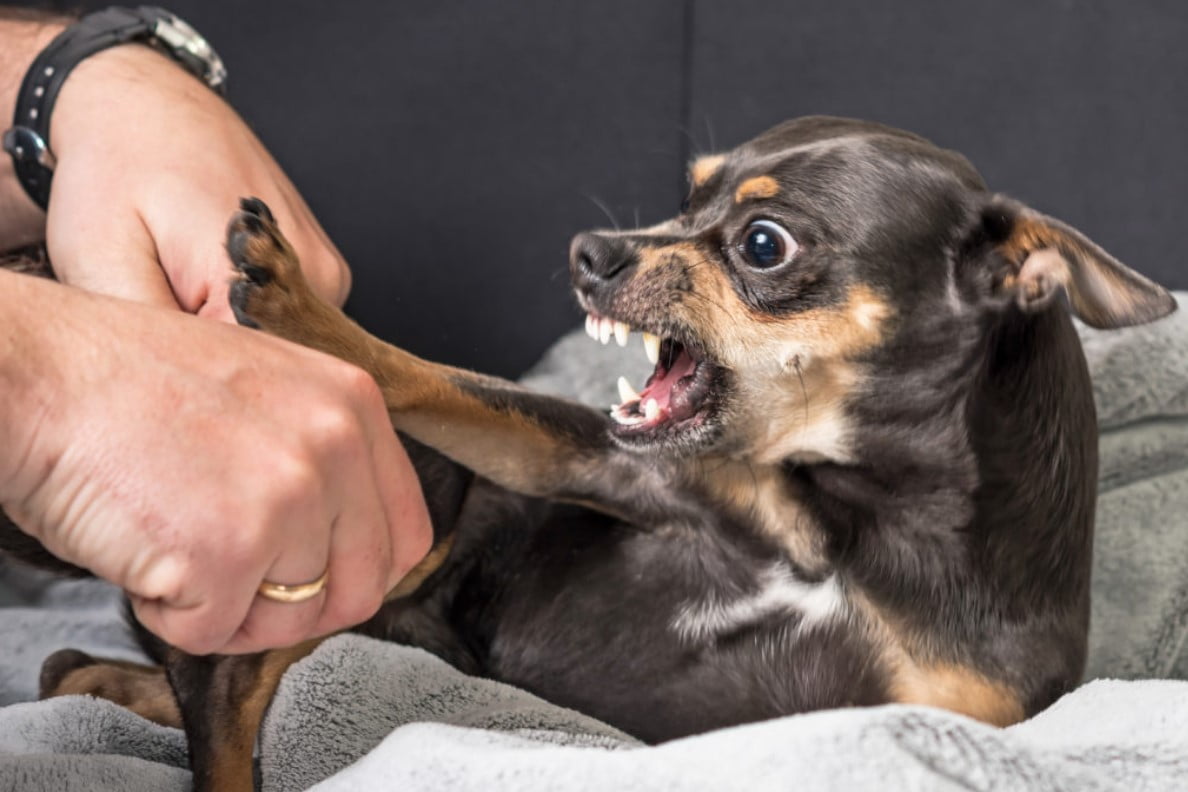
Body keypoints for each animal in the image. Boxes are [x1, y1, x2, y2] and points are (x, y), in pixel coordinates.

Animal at [9, 114, 1178, 788]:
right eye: (688, 195)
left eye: (763, 244)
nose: (591, 251)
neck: (847, 524)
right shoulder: (598, 465)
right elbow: (436, 378)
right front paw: (304, 308)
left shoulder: (937, 714)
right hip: (418, 520)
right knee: (224, 700)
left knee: (176, 687)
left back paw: (108, 684)